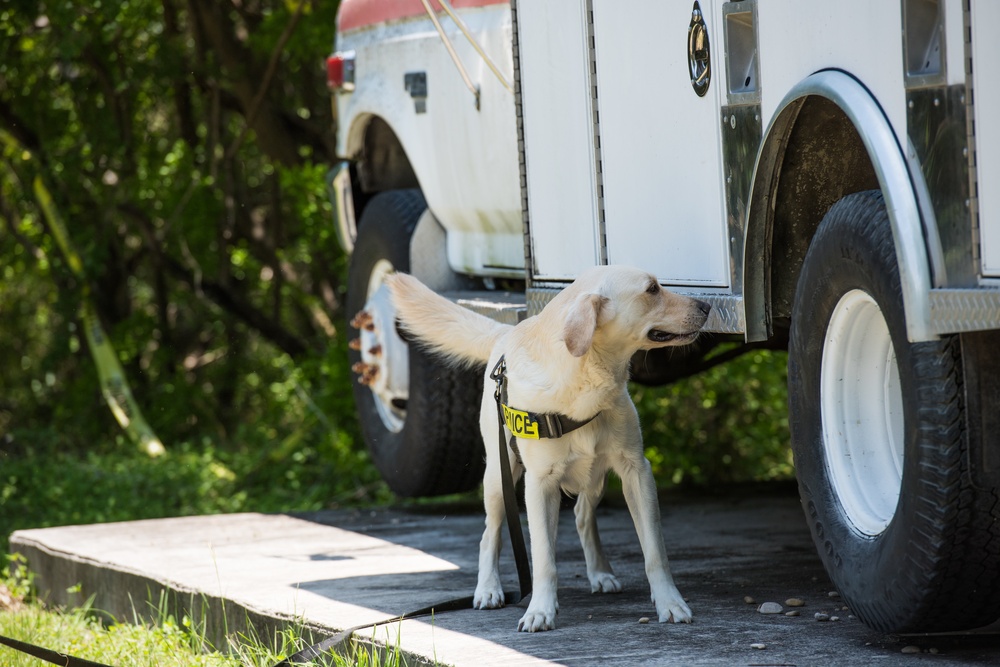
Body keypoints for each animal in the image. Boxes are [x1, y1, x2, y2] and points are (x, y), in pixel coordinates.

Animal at [384, 266, 712, 632]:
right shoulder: (539, 484)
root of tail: (506, 332)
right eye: (652, 289)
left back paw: (599, 573)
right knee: (491, 534)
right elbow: (543, 558)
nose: (706, 306)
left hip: (596, 477)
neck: (586, 381)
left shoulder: (637, 471)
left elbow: (655, 552)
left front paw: (670, 602)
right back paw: (488, 589)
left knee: (583, 516)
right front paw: (540, 610)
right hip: (498, 478)